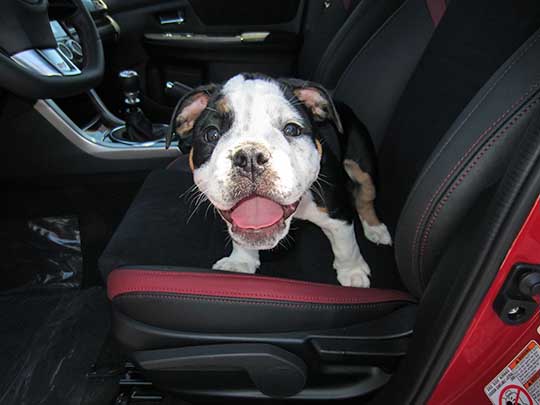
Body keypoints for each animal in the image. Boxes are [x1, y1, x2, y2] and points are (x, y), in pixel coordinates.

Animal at [167, 73, 390, 288]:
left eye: (292, 129)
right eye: (211, 134)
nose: (250, 158)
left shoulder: (338, 213)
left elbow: (346, 245)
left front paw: (353, 272)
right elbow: (239, 237)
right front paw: (241, 262)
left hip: (362, 165)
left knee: (366, 196)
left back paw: (376, 229)